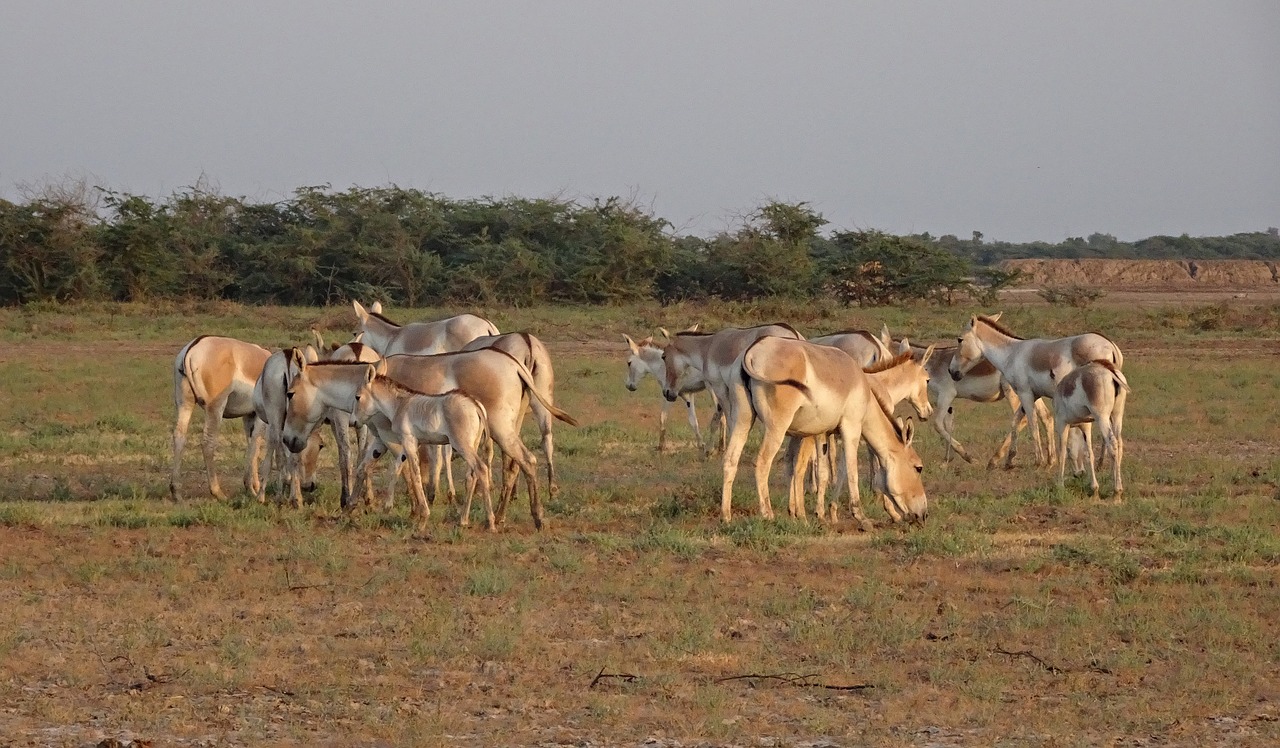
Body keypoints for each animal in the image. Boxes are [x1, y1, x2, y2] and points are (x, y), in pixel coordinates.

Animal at [170, 338, 270, 502]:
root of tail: (194, 347)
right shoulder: (261, 418)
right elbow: (255, 446)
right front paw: (251, 488)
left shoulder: (249, 416)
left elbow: (252, 446)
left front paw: (254, 486)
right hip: (215, 409)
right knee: (207, 443)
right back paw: (218, 492)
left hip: (184, 404)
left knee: (179, 436)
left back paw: (176, 492)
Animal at [737, 335, 926, 527]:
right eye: (918, 468)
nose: (924, 514)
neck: (871, 388)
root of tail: (755, 349)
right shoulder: (852, 428)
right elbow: (854, 469)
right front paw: (864, 515)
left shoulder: (825, 433)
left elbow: (829, 472)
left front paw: (825, 514)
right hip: (778, 427)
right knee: (765, 463)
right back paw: (771, 514)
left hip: (744, 420)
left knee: (738, 459)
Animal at [947, 313, 1126, 466]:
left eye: (960, 339)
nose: (951, 371)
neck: (1012, 353)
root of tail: (1110, 345)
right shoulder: (1033, 394)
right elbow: (1017, 421)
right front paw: (1007, 460)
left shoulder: (1024, 393)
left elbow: (1032, 423)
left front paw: (1039, 461)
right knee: (1115, 436)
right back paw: (1102, 463)